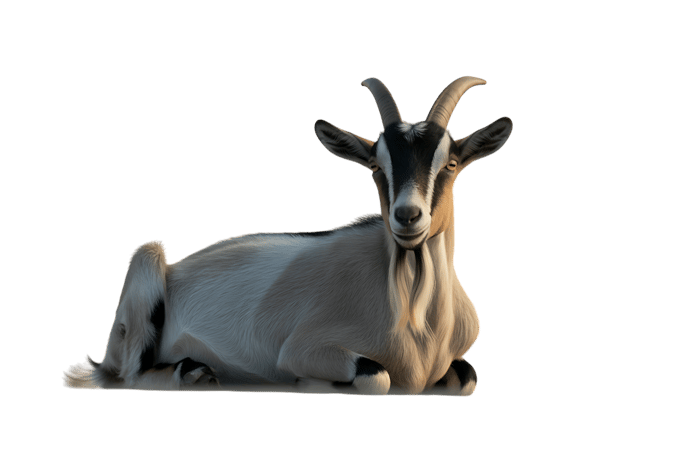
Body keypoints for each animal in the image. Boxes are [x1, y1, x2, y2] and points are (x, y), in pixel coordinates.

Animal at [63, 76, 513, 396]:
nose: (407, 217)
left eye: (451, 163)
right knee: (131, 375)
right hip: (148, 262)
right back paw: (194, 372)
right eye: (375, 166)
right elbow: (377, 377)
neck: (416, 318)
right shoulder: (303, 348)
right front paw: (310, 384)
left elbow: (467, 379)